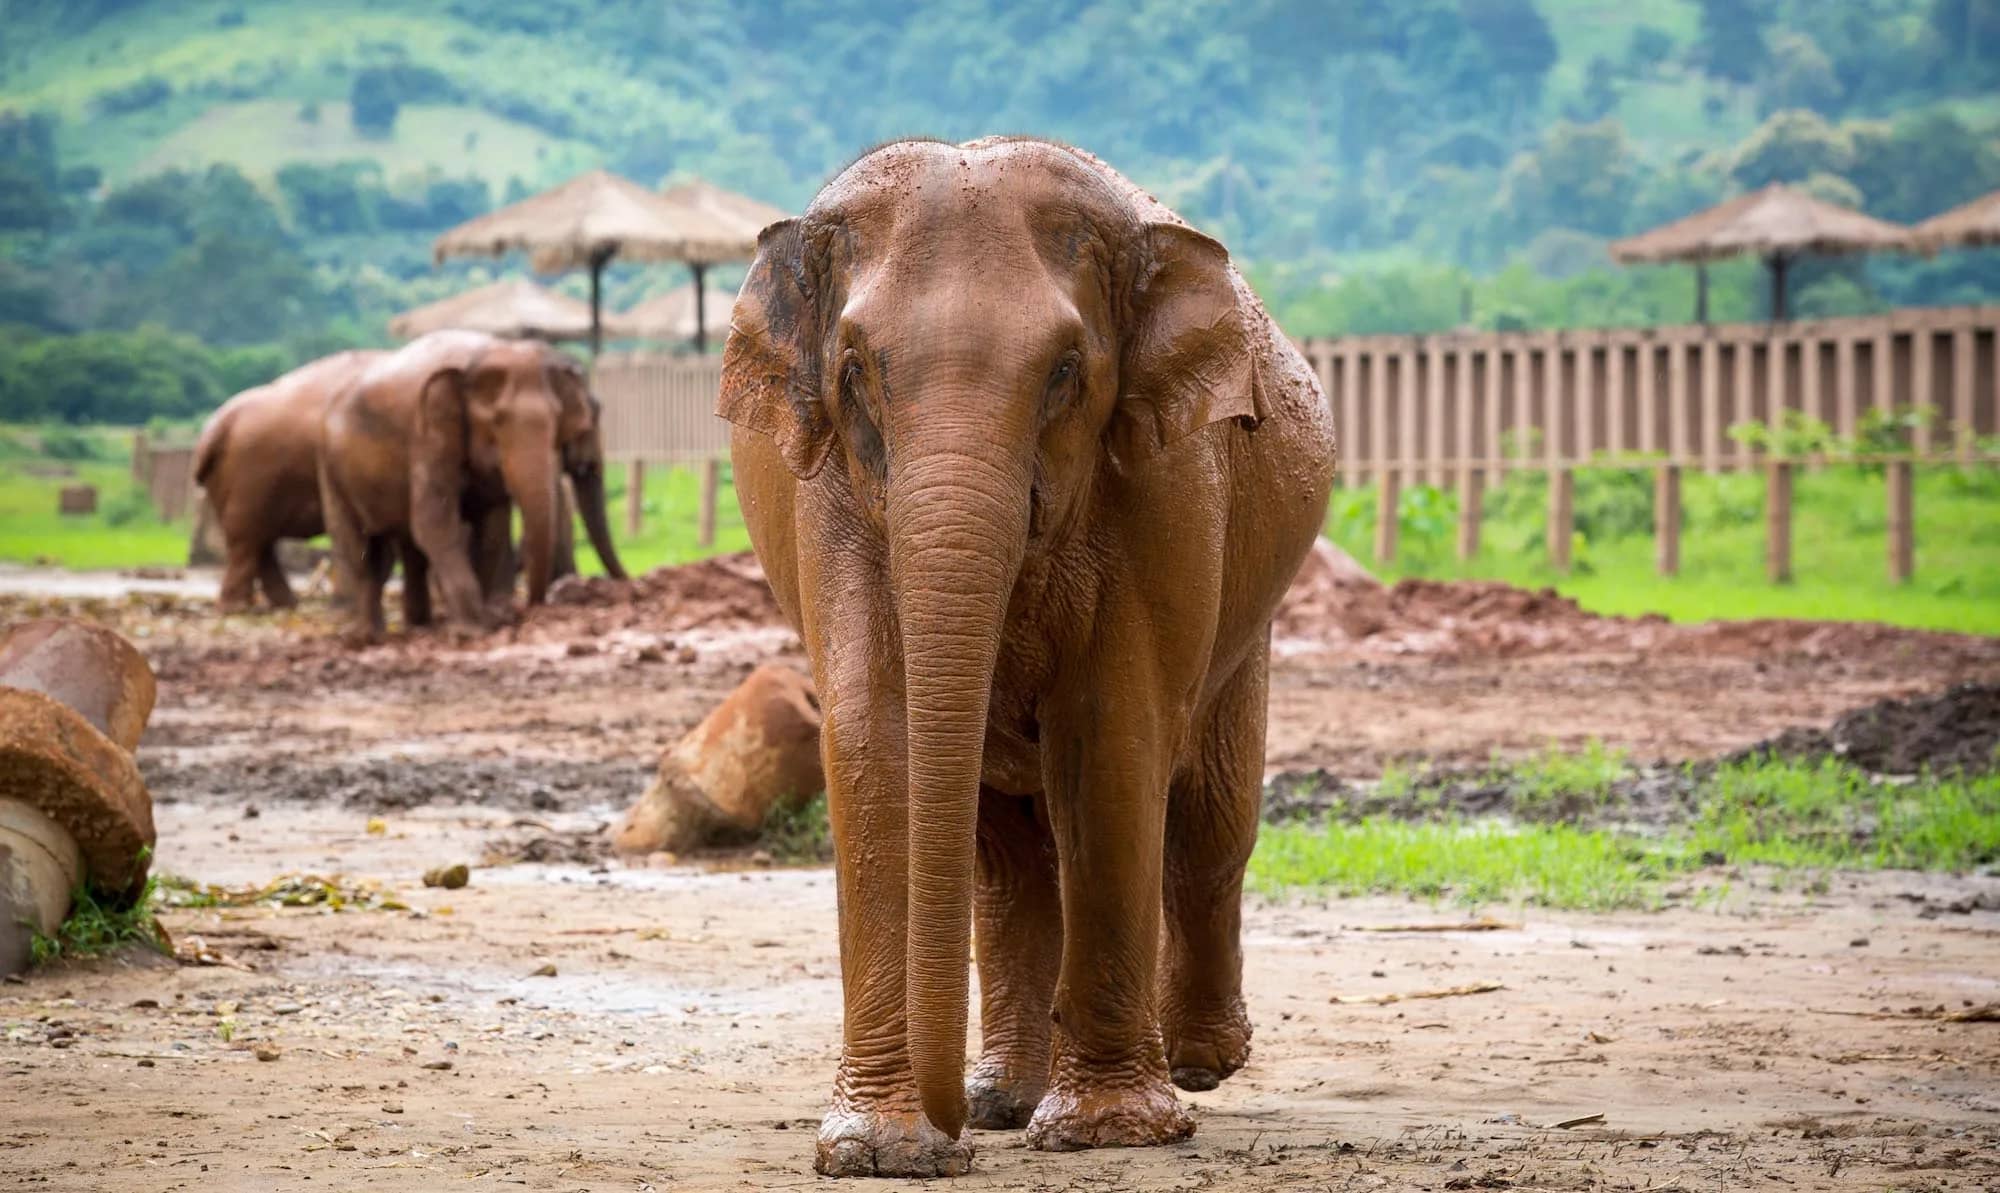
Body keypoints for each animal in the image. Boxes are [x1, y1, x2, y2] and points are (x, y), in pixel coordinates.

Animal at [193, 350, 386, 611]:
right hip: (251, 478)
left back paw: (285, 604)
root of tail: (217, 424)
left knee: (260, 542)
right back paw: (239, 607)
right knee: (246, 539)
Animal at [317, 330, 627, 642]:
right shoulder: (428, 437)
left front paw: (491, 619)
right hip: (330, 474)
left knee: (406, 548)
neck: (486, 356)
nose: (532, 607)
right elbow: (434, 523)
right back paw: (369, 637)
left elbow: (491, 529)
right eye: (497, 422)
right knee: (363, 552)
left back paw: (419, 626)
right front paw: (474, 630)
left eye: (557, 420)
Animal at [719, 137, 1336, 1177]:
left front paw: (1108, 1130)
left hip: (1251, 617)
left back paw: (1199, 1062)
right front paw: (880, 1151)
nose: (952, 1144)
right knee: (1008, 854)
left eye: (1065, 372)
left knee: (1208, 821)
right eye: (854, 370)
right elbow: (877, 734)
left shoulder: (1164, 475)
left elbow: (1110, 734)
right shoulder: (830, 491)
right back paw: (1004, 1096)